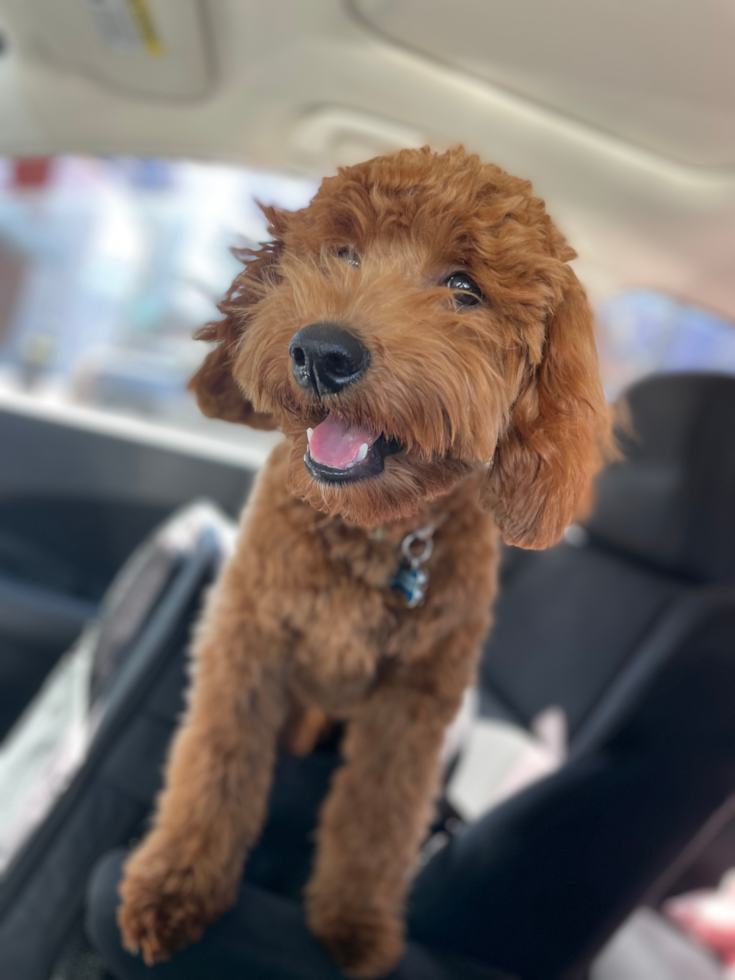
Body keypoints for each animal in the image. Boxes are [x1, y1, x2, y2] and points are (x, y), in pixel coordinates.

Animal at [118, 147, 612, 980]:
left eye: (463, 289)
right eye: (343, 253)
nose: (323, 352)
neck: (378, 533)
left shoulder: (410, 705)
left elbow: (377, 817)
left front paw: (353, 925)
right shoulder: (248, 641)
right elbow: (216, 764)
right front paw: (175, 887)